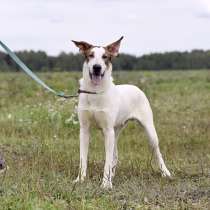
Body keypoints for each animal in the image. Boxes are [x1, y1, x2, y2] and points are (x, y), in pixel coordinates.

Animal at [72, 36, 171, 189]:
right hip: (115, 131)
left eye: (105, 57)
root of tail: (136, 87)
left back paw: (165, 172)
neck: (95, 92)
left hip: (148, 130)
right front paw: (80, 179)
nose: (97, 67)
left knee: (157, 152)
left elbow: (106, 161)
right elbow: (83, 158)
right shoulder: (84, 129)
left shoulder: (107, 130)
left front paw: (105, 184)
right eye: (91, 55)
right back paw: (112, 175)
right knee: (115, 155)